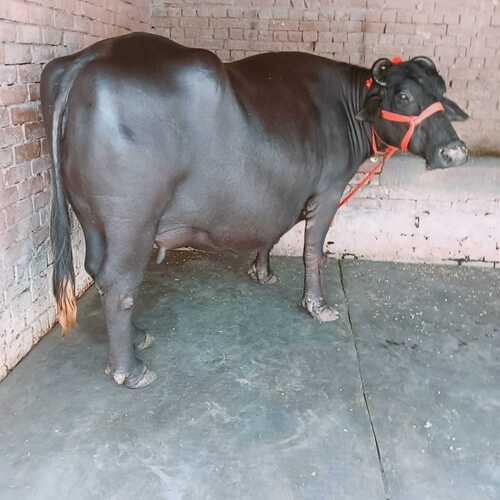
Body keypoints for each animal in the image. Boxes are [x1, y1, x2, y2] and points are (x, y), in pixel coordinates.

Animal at [42, 33, 468, 388]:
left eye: (441, 91)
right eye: (403, 96)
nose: (456, 152)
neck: (345, 108)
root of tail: (87, 59)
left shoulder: (277, 195)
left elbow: (270, 230)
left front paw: (262, 272)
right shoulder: (328, 191)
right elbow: (313, 251)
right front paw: (318, 306)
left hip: (91, 216)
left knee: (97, 270)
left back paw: (137, 336)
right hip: (130, 219)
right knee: (119, 284)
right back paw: (130, 369)